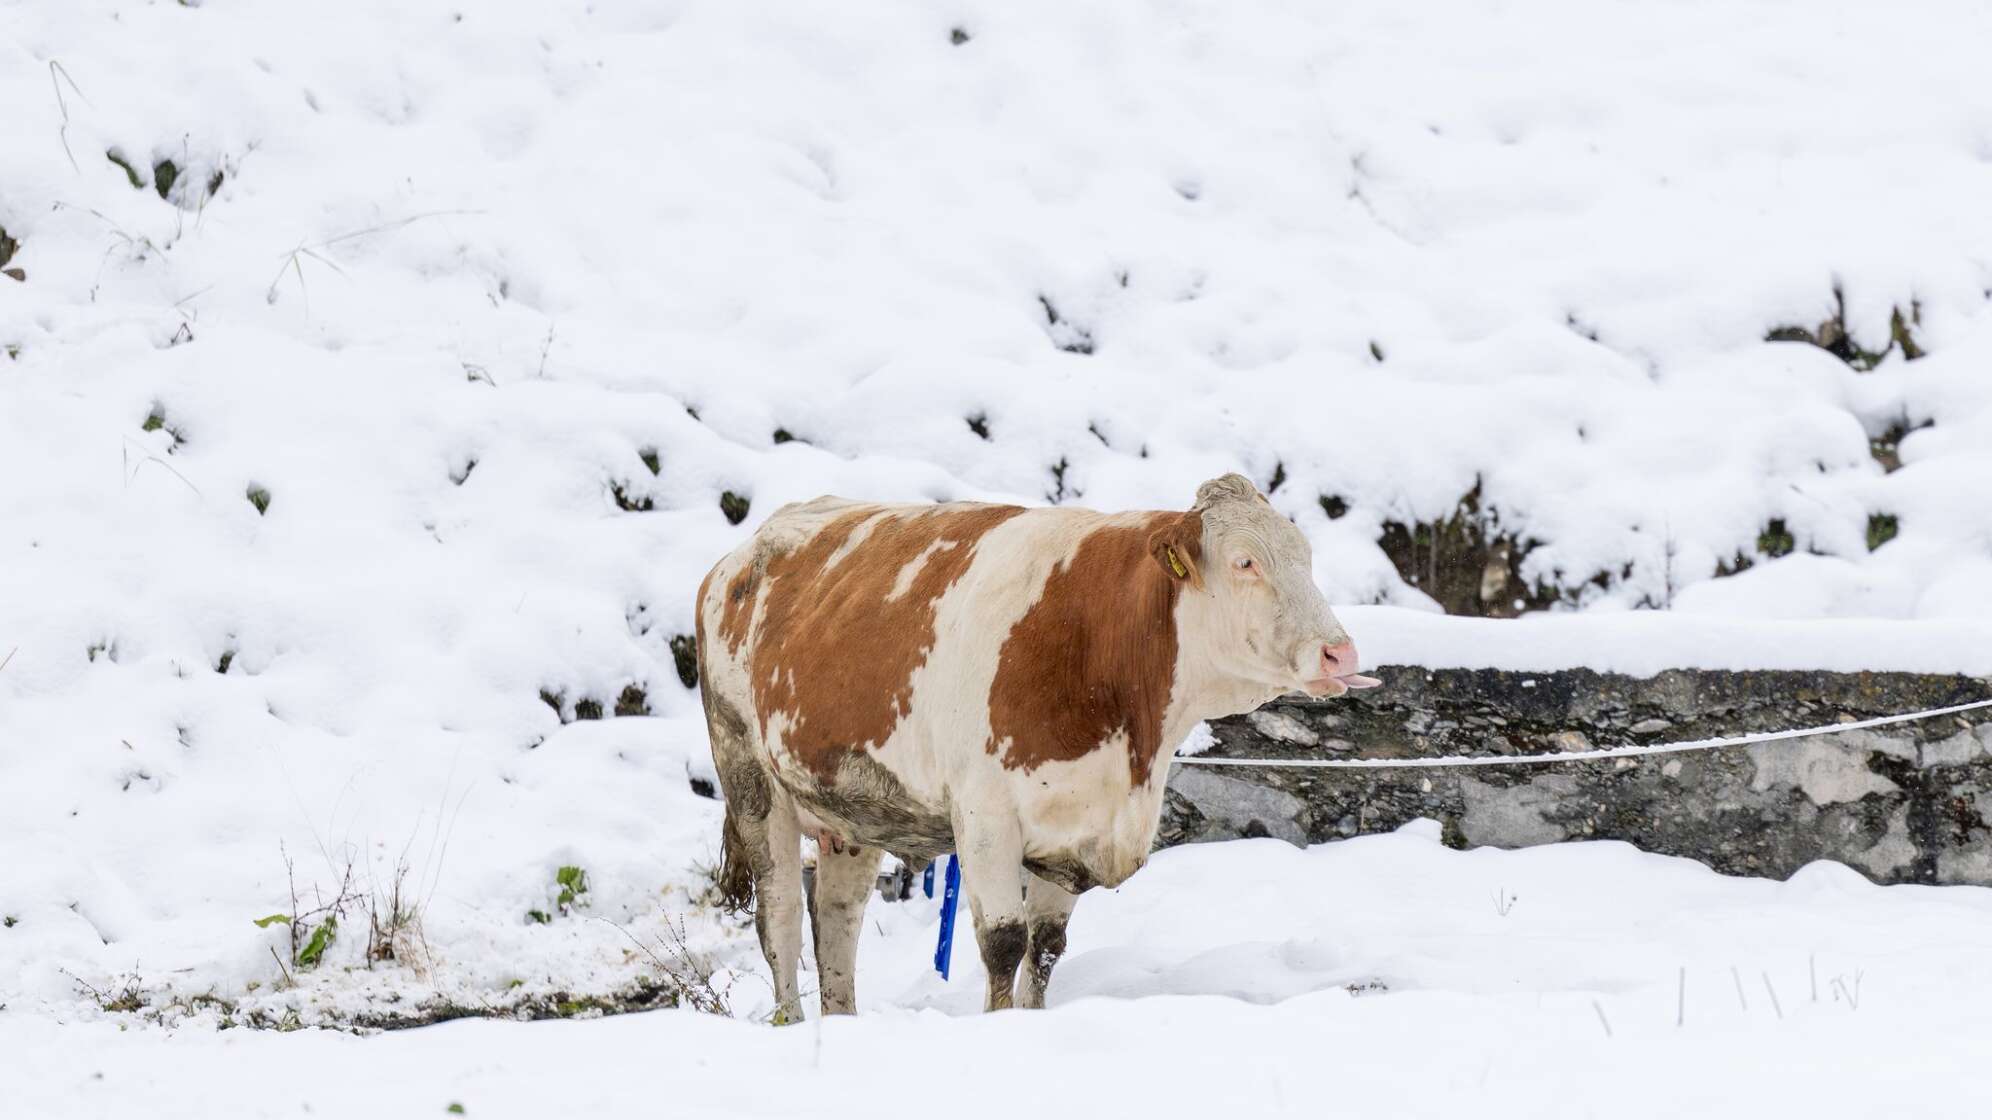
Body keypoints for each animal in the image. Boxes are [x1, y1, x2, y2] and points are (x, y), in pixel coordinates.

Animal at [697, 466, 1370, 1016]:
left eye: (1305, 558)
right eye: (1245, 562)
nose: (1339, 653)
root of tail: (739, 555)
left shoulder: (1077, 825)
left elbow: (1046, 947)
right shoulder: (985, 818)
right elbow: (1003, 943)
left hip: (854, 804)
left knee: (837, 916)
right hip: (749, 775)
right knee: (780, 915)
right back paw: (791, 1020)